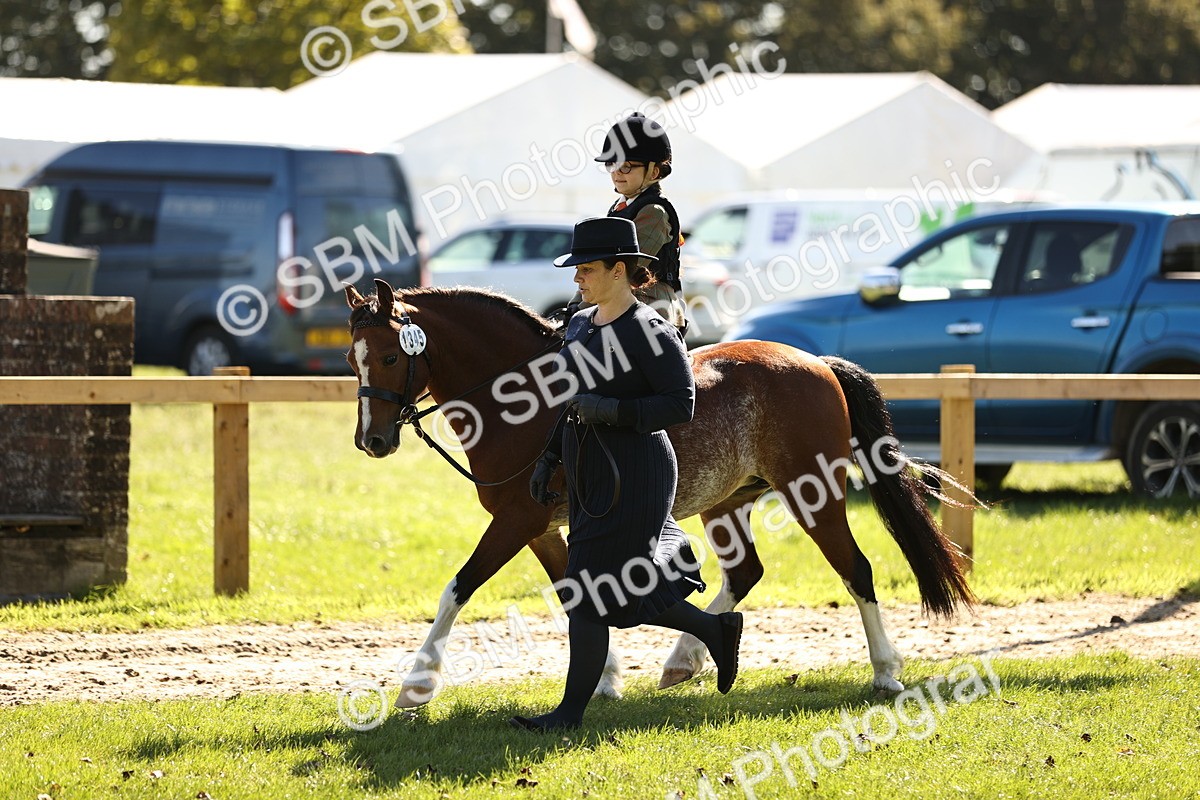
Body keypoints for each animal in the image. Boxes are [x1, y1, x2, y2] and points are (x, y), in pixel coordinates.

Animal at [345, 278, 974, 708]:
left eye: (392, 355)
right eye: (353, 359)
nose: (372, 441)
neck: (525, 400)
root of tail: (814, 361)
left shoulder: (517, 521)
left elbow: (459, 588)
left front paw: (415, 687)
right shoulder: (542, 529)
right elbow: (576, 591)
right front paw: (605, 678)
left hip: (812, 493)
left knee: (856, 569)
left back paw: (885, 671)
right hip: (728, 502)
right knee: (745, 573)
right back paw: (685, 661)